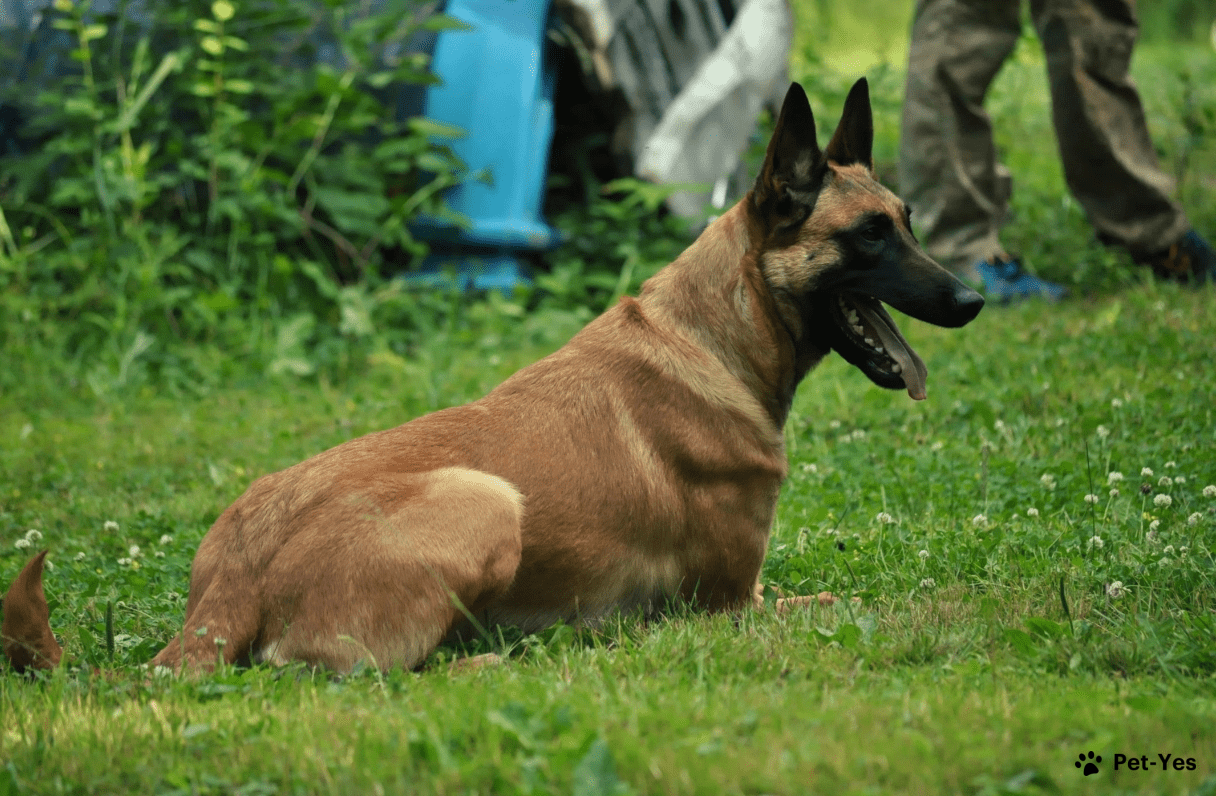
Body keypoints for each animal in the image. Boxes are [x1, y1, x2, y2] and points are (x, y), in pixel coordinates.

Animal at [0, 79, 982, 670]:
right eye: (869, 237)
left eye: (907, 219)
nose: (972, 299)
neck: (715, 338)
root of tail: (227, 585)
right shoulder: (733, 606)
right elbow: (862, 599)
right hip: (484, 499)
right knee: (373, 674)